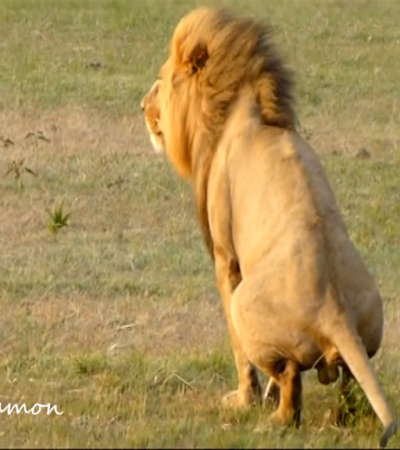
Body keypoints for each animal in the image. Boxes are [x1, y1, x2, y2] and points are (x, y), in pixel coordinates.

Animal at [141, 6, 396, 446]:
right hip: (367, 325)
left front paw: (246, 400)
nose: (142, 106)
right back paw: (338, 418)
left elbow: (238, 350)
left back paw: (273, 420)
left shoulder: (226, 257)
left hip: (246, 304)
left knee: (291, 379)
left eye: (162, 81)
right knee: (348, 381)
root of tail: (336, 310)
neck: (241, 109)